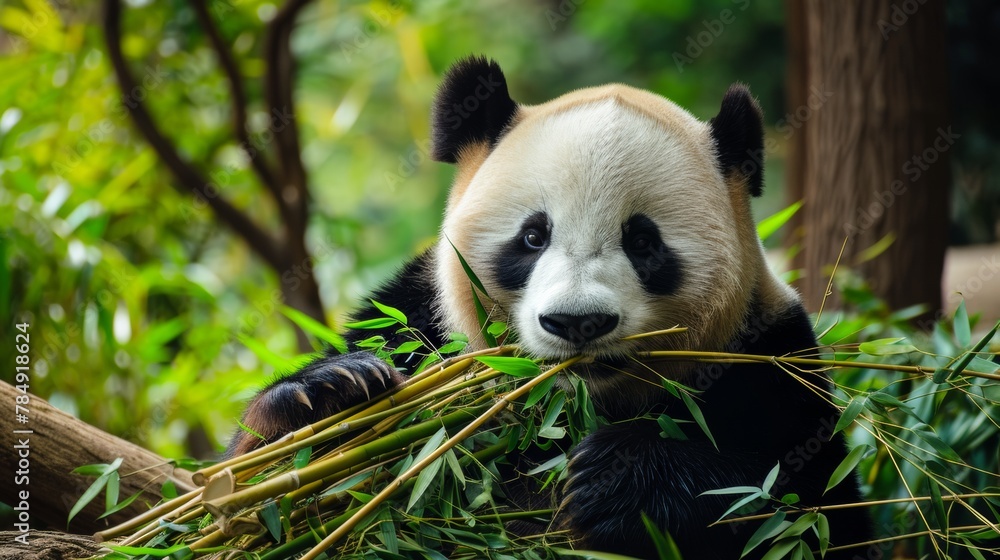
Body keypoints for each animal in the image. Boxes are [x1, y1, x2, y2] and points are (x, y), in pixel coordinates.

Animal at [228, 56, 874, 559]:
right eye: (533, 236)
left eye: (644, 242)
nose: (576, 322)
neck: (568, 410)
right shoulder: (417, 322)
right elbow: (247, 493)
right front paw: (330, 393)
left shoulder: (770, 361)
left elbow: (804, 509)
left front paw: (615, 482)